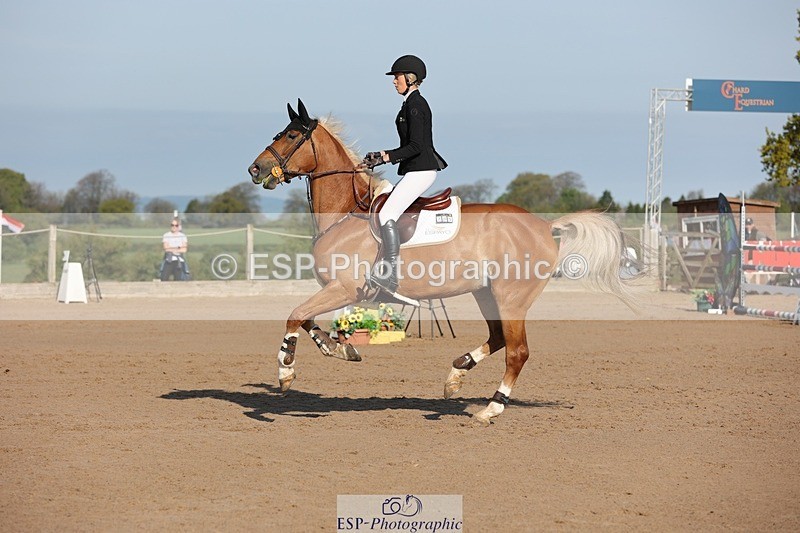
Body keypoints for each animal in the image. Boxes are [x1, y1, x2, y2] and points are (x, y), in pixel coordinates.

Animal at [248, 99, 639, 425]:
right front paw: (341, 349)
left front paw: (286, 371)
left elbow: (295, 315)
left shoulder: (345, 289)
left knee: (517, 351)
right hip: (486, 293)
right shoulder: (335, 290)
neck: (347, 212)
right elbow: (306, 318)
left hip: (511, 298)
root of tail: (545, 225)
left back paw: (490, 409)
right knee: (498, 338)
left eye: (292, 135)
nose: (255, 168)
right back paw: (456, 376)